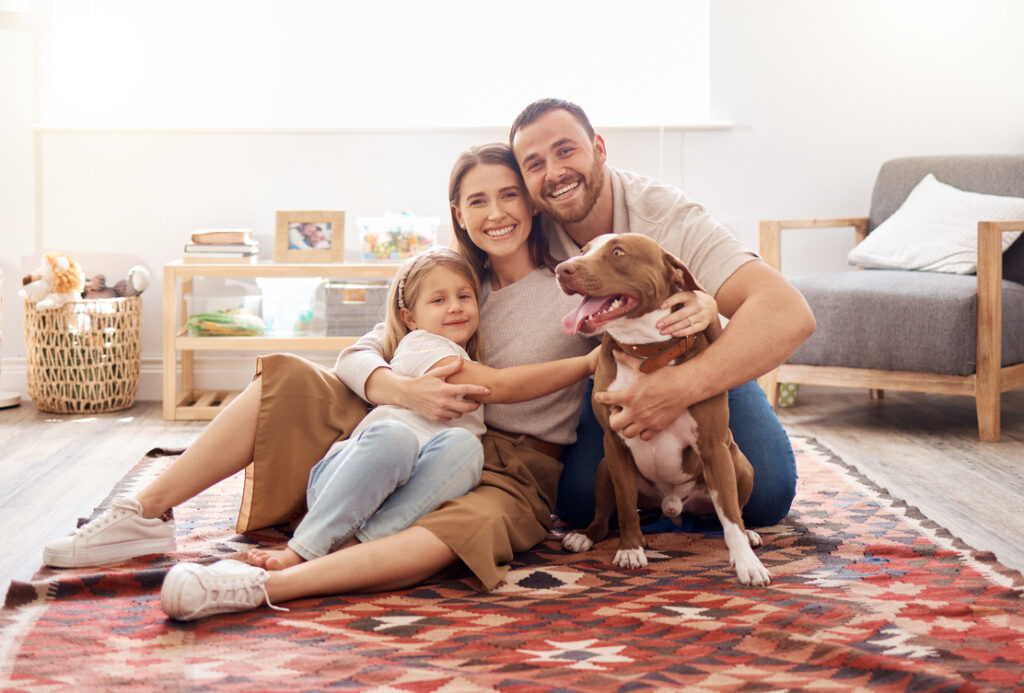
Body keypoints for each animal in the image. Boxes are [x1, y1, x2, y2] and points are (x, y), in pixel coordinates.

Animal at [561, 232, 770, 585]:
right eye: (583, 250)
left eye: (618, 252)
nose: (562, 268)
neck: (646, 352)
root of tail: (672, 509)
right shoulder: (614, 444)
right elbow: (625, 506)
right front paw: (630, 549)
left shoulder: (713, 446)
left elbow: (730, 515)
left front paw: (747, 563)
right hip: (604, 468)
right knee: (605, 515)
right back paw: (585, 536)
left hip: (740, 464)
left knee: (729, 514)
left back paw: (750, 534)